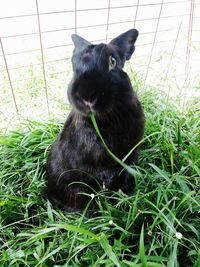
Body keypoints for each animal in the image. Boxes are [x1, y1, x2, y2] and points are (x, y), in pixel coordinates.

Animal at [43, 29, 145, 213]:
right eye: (73, 65)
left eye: (113, 61)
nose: (86, 94)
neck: (109, 117)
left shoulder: (132, 156)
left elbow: (127, 177)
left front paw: (127, 198)